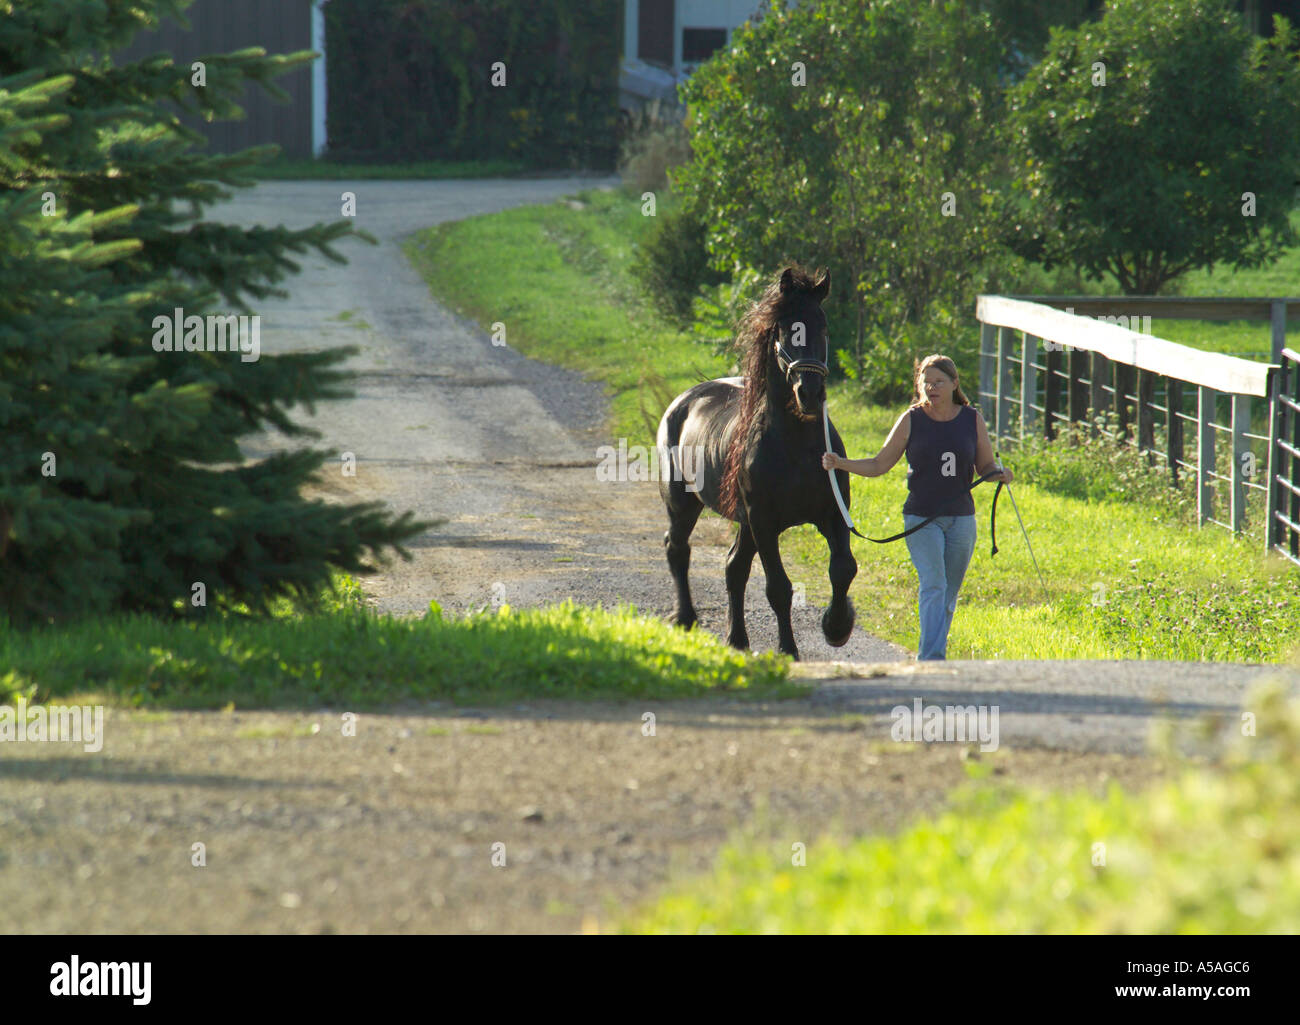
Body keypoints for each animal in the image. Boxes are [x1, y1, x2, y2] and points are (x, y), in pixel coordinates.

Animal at [654, 264, 857, 660]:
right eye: (785, 329)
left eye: (823, 326)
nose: (809, 394)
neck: (797, 447)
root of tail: (684, 400)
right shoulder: (764, 522)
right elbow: (778, 588)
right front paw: (789, 650)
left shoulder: (833, 513)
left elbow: (843, 569)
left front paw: (837, 627)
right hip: (684, 503)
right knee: (678, 548)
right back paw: (686, 618)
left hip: (743, 523)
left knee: (734, 567)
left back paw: (737, 639)